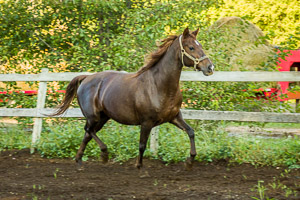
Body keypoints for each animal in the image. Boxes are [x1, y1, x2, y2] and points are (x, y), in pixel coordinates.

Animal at [50, 27, 214, 169]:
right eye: (191, 47)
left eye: (200, 45)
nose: (210, 67)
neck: (159, 86)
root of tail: (86, 78)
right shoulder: (146, 122)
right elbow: (142, 145)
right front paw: (139, 167)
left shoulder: (174, 117)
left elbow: (191, 132)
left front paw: (189, 161)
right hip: (93, 116)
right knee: (88, 130)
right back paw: (104, 154)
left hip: (103, 117)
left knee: (87, 134)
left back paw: (80, 161)